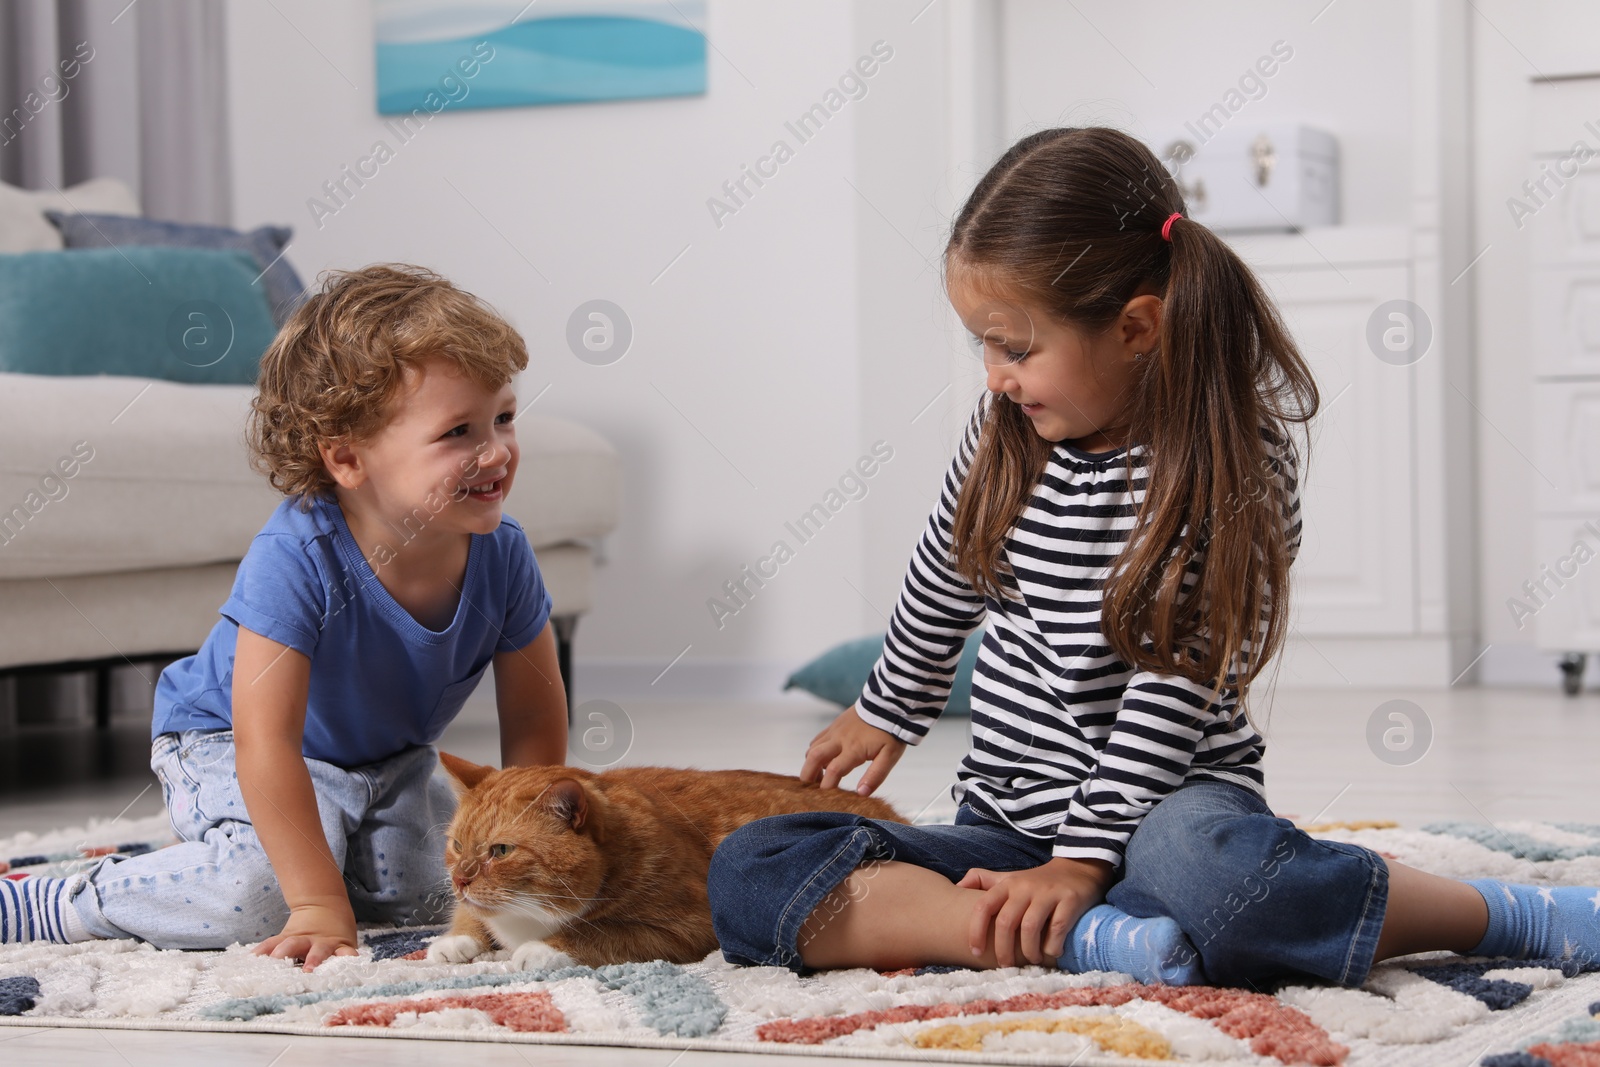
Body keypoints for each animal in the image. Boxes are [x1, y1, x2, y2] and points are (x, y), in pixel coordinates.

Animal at [425, 755, 908, 972]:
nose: (459, 879)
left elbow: (601, 933)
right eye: (457, 845)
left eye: (500, 851)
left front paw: (543, 948)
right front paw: (455, 941)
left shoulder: (687, 925)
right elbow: (470, 918)